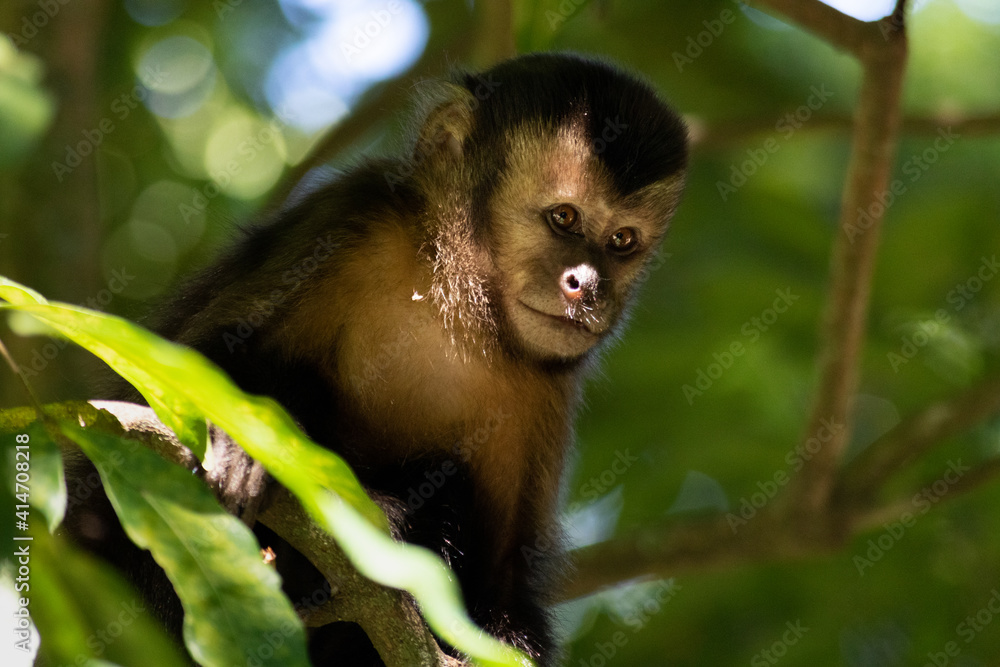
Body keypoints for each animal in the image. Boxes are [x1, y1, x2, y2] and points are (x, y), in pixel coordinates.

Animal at [62, 52, 688, 665]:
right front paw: (242, 441)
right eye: (564, 219)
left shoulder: (547, 389)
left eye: (622, 241)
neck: (453, 297)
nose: (588, 285)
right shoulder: (351, 216)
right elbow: (190, 367)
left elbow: (504, 581)